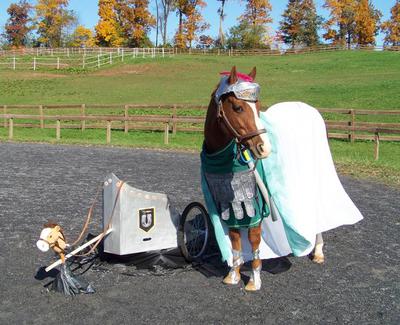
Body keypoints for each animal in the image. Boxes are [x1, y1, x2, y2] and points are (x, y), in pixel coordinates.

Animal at [200, 66, 324, 292]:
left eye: (257, 106)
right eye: (238, 107)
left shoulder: (254, 204)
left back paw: (318, 250)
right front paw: (233, 274)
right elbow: (235, 240)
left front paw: (254, 280)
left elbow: (253, 239)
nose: (264, 148)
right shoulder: (230, 204)